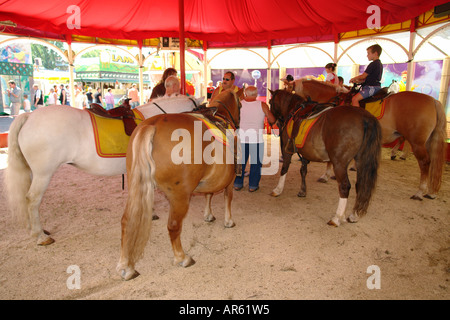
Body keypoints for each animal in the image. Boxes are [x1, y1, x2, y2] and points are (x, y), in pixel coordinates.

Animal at [118, 90, 241, 280]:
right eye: (240, 105)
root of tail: (152, 125)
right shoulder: (230, 179)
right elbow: (228, 197)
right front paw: (228, 221)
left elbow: (209, 194)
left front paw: (208, 215)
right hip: (179, 196)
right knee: (173, 226)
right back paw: (182, 258)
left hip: (135, 187)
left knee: (126, 222)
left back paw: (126, 266)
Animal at [268, 89, 382, 226]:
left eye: (270, 102)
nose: (272, 122)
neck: (293, 109)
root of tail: (365, 118)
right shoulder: (305, 153)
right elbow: (303, 170)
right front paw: (302, 191)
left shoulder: (286, 151)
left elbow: (284, 169)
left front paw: (278, 189)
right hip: (361, 161)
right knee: (360, 185)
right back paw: (353, 215)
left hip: (339, 163)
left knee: (344, 186)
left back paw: (337, 218)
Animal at [292, 79, 446, 200]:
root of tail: (434, 100)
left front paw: (326, 175)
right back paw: (430, 191)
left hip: (417, 141)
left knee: (424, 162)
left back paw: (419, 191)